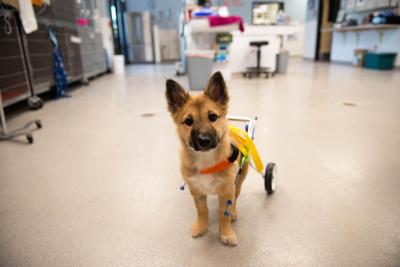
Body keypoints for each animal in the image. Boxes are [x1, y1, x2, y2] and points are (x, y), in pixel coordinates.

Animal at [165, 71, 247, 247]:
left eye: (213, 117)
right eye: (188, 121)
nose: (204, 140)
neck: (206, 159)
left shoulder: (227, 190)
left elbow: (224, 214)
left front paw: (226, 232)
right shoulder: (197, 191)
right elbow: (202, 211)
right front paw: (201, 226)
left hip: (239, 180)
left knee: (236, 197)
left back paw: (234, 212)